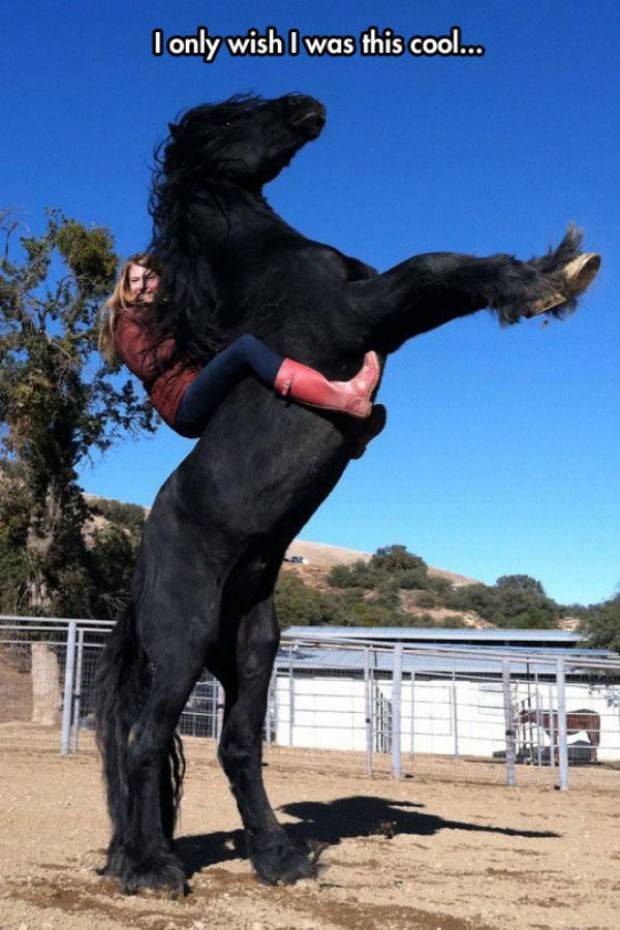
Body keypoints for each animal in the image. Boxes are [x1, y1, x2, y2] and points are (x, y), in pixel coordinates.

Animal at [94, 93, 600, 895]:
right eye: (231, 119)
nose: (307, 105)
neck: (271, 271)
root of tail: (145, 567)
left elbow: (439, 272)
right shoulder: (368, 310)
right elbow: (438, 269)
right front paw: (552, 279)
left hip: (252, 647)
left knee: (237, 748)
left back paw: (278, 858)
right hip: (184, 641)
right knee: (147, 737)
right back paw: (152, 870)